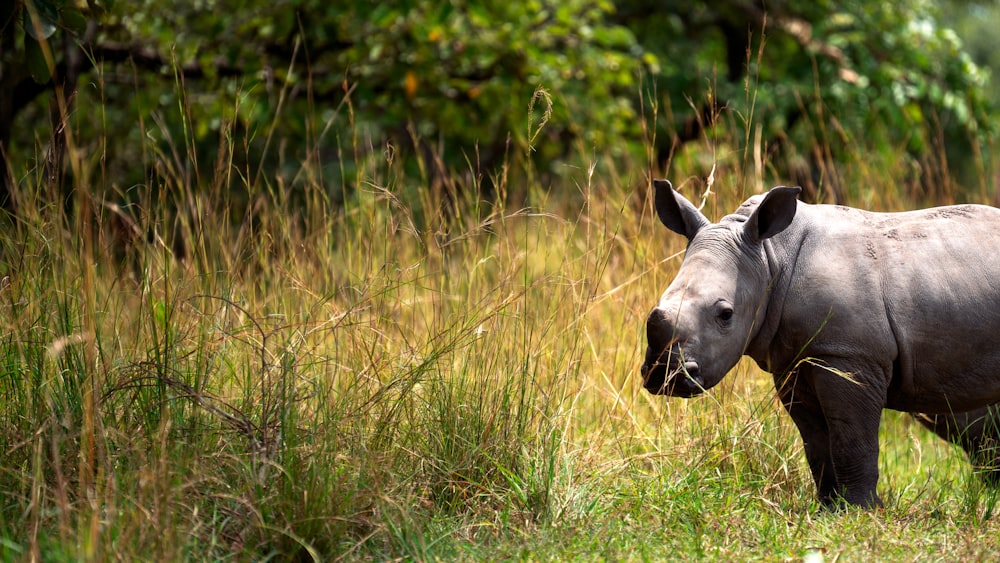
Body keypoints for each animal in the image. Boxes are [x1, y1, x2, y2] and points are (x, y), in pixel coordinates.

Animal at [640, 180, 1000, 506]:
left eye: (725, 315)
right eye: (657, 307)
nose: (663, 374)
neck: (770, 258)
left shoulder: (848, 356)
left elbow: (853, 440)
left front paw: (862, 510)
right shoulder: (794, 360)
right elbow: (816, 443)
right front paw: (827, 507)